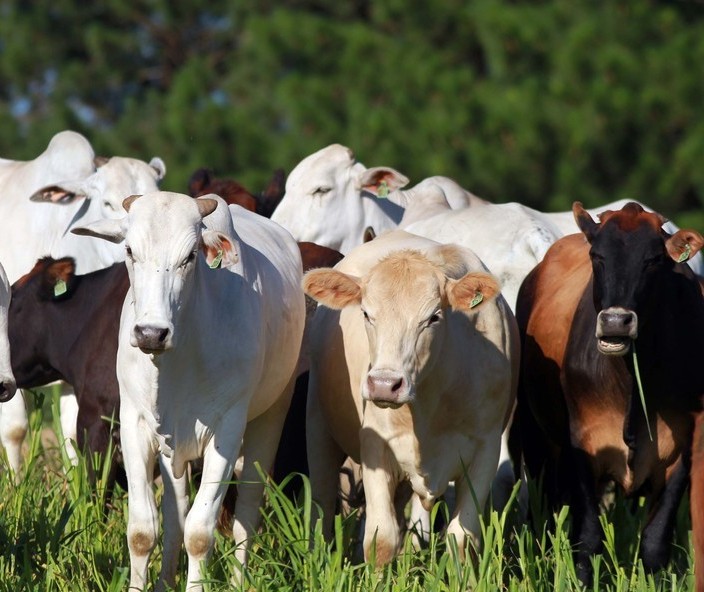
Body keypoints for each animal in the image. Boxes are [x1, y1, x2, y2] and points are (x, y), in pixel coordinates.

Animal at [73, 193, 306, 592]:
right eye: (130, 250)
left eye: (191, 256)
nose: (151, 333)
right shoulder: (135, 424)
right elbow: (142, 530)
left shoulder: (226, 431)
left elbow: (199, 533)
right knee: (175, 511)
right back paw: (166, 580)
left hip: (271, 416)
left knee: (245, 512)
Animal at [302, 230, 516, 564]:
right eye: (366, 313)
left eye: (433, 317)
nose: (384, 384)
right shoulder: (375, 445)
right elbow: (381, 539)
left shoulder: (487, 449)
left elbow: (462, 539)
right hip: (318, 426)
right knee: (322, 504)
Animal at [512, 200, 704, 584]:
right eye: (597, 256)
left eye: (653, 259)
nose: (616, 321)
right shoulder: (583, 444)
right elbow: (587, 538)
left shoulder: (681, 449)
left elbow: (655, 542)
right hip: (536, 437)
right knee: (542, 510)